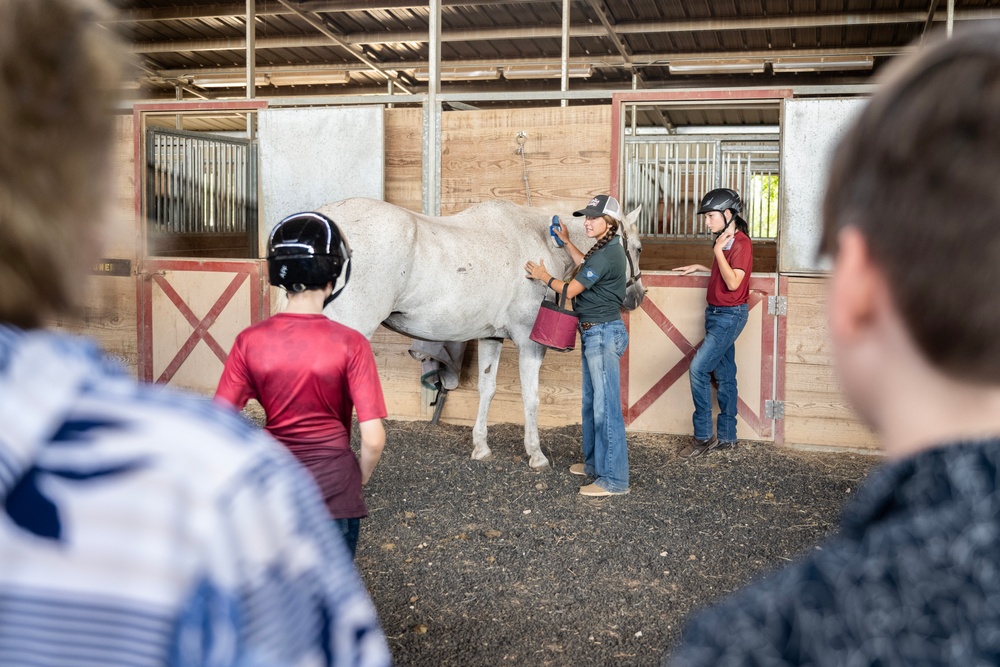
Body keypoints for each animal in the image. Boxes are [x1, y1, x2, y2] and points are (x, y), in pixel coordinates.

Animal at [316, 197, 644, 470]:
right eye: (639, 248)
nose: (637, 296)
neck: (538, 238)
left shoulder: (491, 337)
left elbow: (487, 389)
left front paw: (481, 447)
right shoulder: (529, 342)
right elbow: (531, 396)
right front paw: (536, 454)